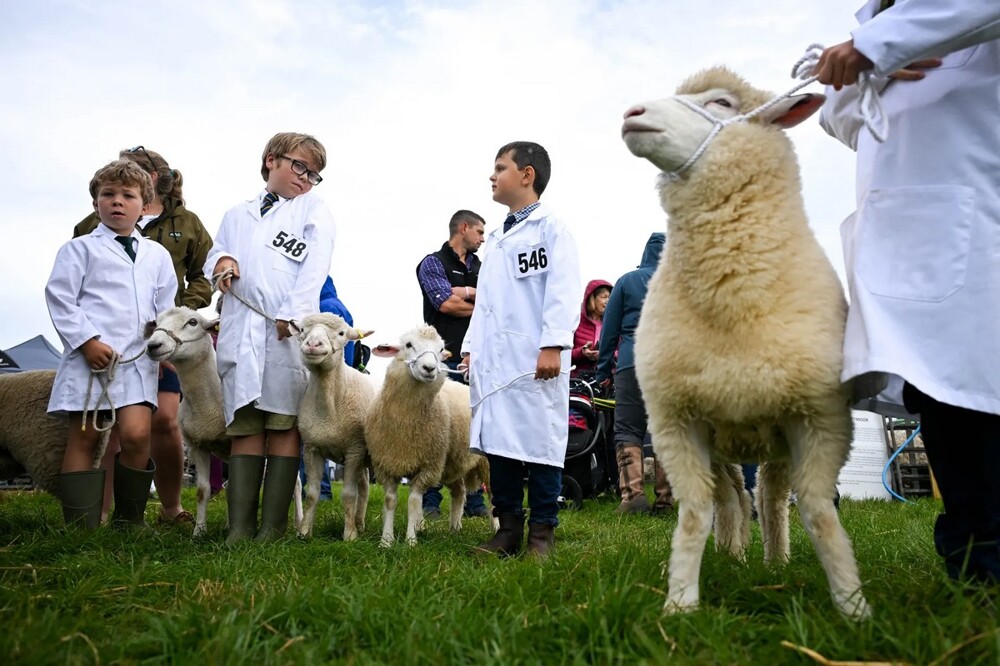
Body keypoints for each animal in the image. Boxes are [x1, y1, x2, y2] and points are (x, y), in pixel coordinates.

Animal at [145, 304, 300, 536]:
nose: (153, 345)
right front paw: (199, 532)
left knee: (297, 483)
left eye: (192, 322)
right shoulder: (197, 445)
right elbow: (204, 490)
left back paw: (300, 526)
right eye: (157, 322)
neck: (208, 403)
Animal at [296, 312, 378, 540]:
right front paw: (304, 532)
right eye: (302, 330)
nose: (313, 344)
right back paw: (360, 522)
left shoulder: (354, 450)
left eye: (342, 333)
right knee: (365, 486)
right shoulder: (311, 448)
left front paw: (349, 535)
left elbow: (349, 494)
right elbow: (312, 493)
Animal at [366, 324, 494, 548]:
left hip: (483, 462)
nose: (429, 368)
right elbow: (390, 501)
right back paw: (454, 528)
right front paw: (386, 541)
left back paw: (496, 527)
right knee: (459, 493)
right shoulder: (385, 464)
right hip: (453, 463)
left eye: (441, 349)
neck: (405, 423)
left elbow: (413, 501)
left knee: (493, 497)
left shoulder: (429, 464)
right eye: (408, 345)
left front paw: (410, 541)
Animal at [620, 66, 872, 616]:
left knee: (770, 501)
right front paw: (680, 604)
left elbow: (819, 513)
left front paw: (853, 606)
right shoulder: (676, 424)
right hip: (724, 444)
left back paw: (774, 561)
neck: (733, 296)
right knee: (732, 499)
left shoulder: (821, 420)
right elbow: (695, 513)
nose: (632, 115)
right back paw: (732, 553)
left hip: (775, 445)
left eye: (721, 103)